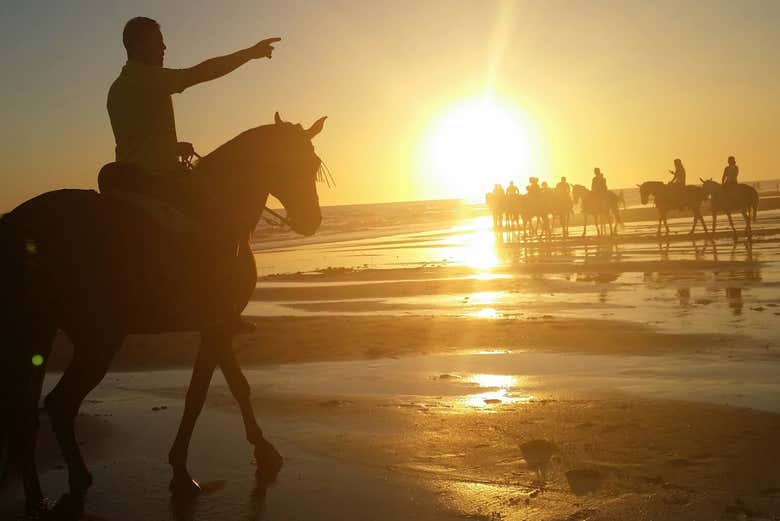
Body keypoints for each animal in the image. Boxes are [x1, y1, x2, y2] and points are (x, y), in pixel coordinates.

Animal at [0, 112, 326, 516]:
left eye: (312, 164)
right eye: (284, 163)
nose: (311, 221)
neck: (220, 208)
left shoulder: (218, 325)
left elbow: (237, 385)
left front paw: (262, 450)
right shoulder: (215, 324)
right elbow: (199, 395)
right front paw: (182, 473)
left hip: (37, 334)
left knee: (25, 415)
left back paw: (37, 497)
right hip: (97, 338)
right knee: (59, 404)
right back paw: (74, 481)